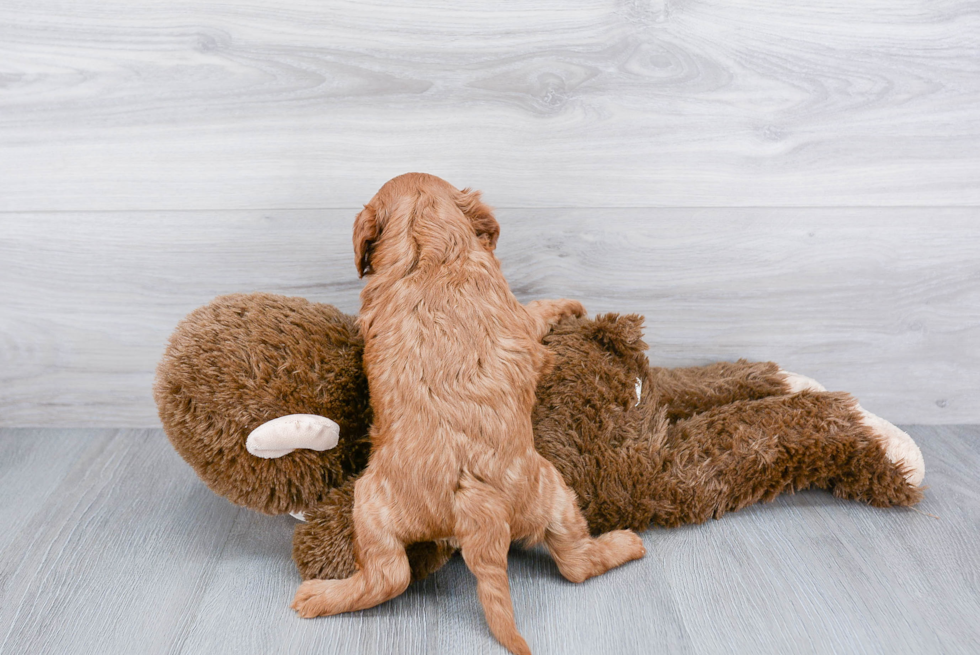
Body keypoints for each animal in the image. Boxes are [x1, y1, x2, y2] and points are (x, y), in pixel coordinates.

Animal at [290, 174, 644, 655]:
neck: (430, 248)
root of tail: (474, 502)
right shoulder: (522, 321)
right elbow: (539, 311)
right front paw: (568, 304)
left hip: (374, 504)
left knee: (392, 574)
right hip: (550, 492)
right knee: (573, 562)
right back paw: (626, 543)